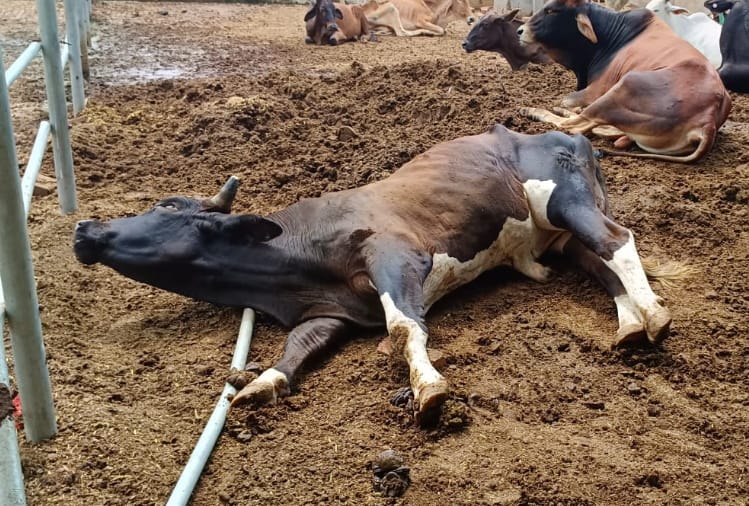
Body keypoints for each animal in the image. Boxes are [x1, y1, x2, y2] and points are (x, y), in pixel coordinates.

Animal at [73, 125, 680, 425]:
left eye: (166, 209)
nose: (85, 226)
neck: (291, 266)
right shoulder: (330, 313)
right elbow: (296, 349)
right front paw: (262, 383)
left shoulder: (395, 254)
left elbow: (403, 326)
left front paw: (429, 388)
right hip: (561, 235)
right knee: (601, 265)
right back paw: (629, 327)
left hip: (566, 201)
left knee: (617, 241)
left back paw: (655, 317)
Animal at [517, 0, 731, 162]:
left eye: (552, 10)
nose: (519, 30)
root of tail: (708, 121)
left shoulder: (595, 90)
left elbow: (566, 101)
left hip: (624, 85)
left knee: (574, 125)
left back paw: (532, 110)